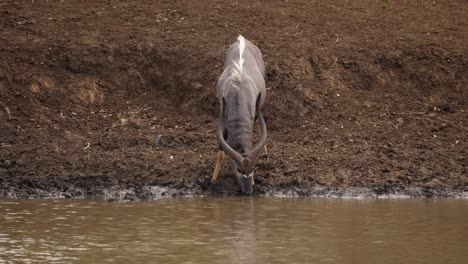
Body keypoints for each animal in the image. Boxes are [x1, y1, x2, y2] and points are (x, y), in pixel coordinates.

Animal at [212, 35, 266, 195]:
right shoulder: (223, 123)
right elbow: (220, 153)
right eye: (238, 169)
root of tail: (242, 40)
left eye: (253, 168)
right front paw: (213, 180)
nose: (248, 192)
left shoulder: (253, 115)